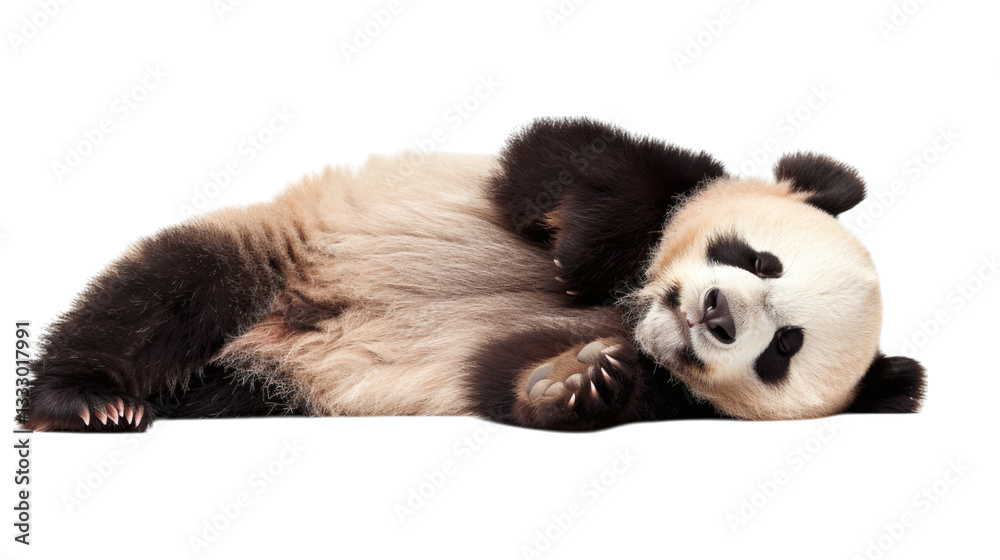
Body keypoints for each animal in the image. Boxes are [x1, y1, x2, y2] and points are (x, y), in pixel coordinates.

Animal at [20, 117, 926, 432]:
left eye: (782, 349)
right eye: (757, 258)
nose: (714, 313)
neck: (631, 309)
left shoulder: (675, 394)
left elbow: (502, 372)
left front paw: (577, 380)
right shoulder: (650, 167)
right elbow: (565, 163)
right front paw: (581, 251)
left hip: (265, 386)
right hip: (278, 251)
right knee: (166, 291)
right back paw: (87, 399)